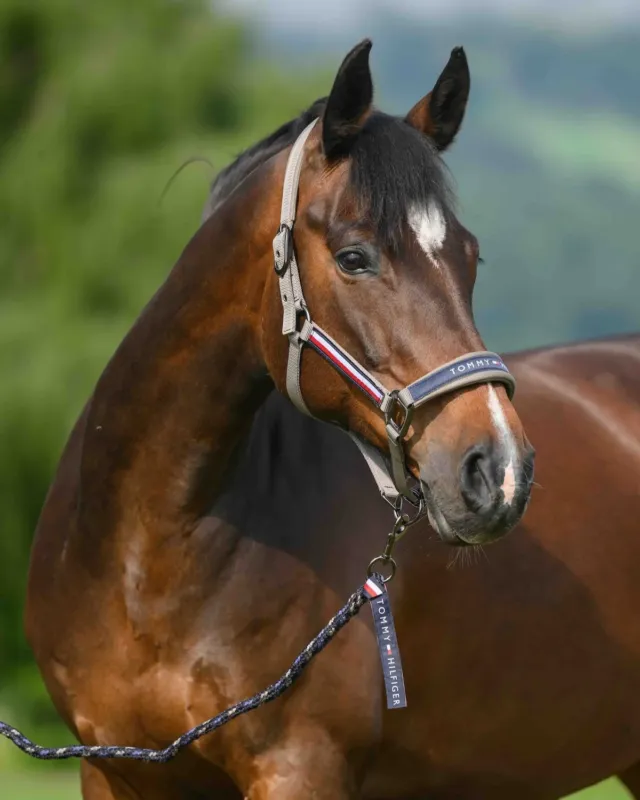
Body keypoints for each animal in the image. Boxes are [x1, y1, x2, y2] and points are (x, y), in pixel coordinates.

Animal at [23, 40, 545, 798]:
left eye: (471, 258)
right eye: (355, 257)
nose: (499, 470)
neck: (145, 561)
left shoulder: (300, 768)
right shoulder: (107, 765)